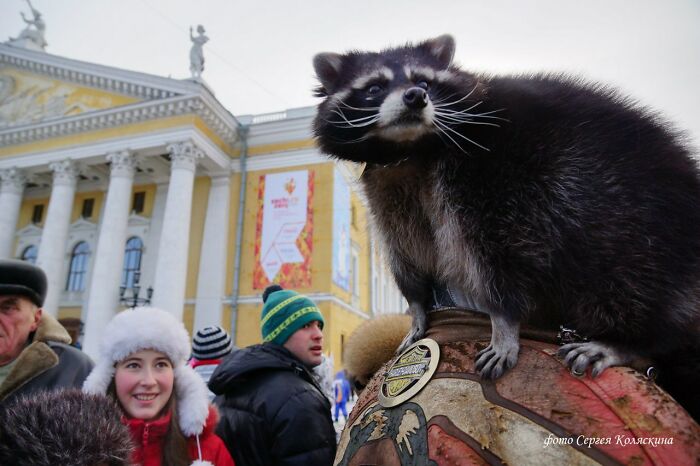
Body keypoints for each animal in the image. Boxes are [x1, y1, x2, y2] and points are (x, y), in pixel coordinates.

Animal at [312, 35, 700, 419]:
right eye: (374, 87)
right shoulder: (386, 191)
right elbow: (406, 252)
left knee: (628, 279)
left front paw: (504, 323)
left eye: (423, 81)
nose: (415, 96)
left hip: (642, 228)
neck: (412, 148)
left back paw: (630, 340)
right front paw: (417, 304)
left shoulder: (490, 181)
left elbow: (497, 256)